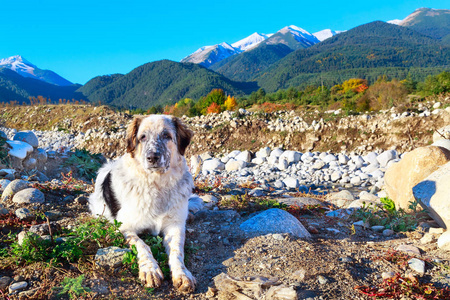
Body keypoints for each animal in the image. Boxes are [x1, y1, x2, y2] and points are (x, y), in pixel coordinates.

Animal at [89, 115, 197, 292]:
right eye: (143, 137)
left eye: (167, 135)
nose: (152, 157)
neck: (157, 184)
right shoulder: (125, 227)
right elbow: (142, 245)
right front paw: (150, 270)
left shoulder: (175, 225)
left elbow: (177, 250)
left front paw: (182, 274)